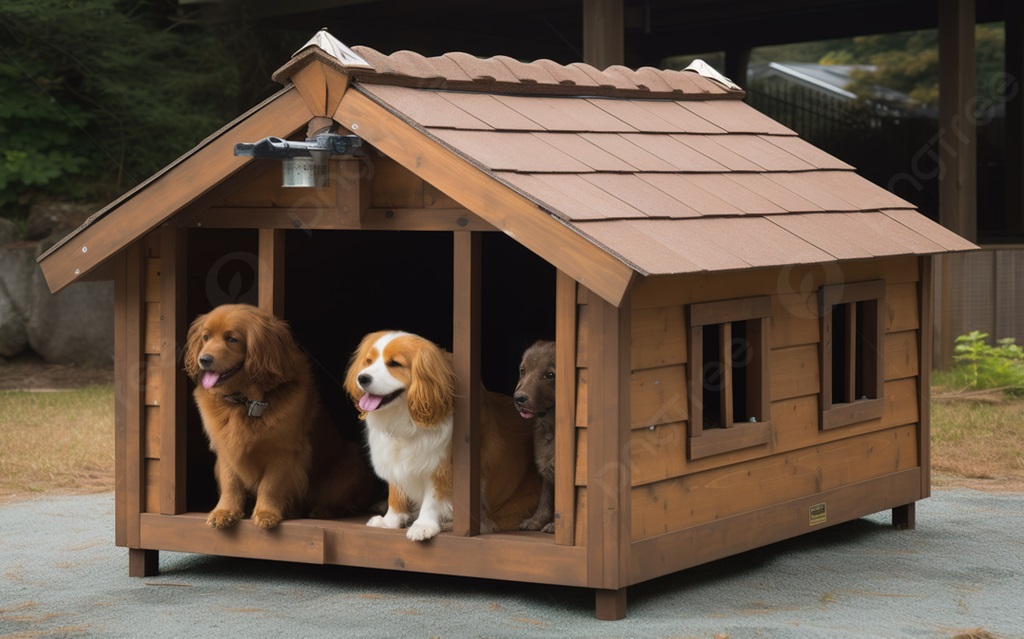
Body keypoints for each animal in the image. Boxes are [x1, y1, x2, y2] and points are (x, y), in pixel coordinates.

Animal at [184, 305, 376, 528]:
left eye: (232, 339)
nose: (203, 359)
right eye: (205, 337)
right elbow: (230, 482)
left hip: (350, 460)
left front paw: (267, 513)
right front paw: (224, 511)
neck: (245, 402)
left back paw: (324, 511)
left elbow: (270, 485)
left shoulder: (283, 451)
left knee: (348, 504)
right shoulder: (226, 448)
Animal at [344, 331, 540, 540]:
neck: (406, 417)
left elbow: (433, 499)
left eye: (395, 364)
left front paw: (423, 525)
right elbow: (396, 493)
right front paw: (390, 522)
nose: (362, 378)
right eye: (368, 361)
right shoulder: (395, 460)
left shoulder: (441, 465)